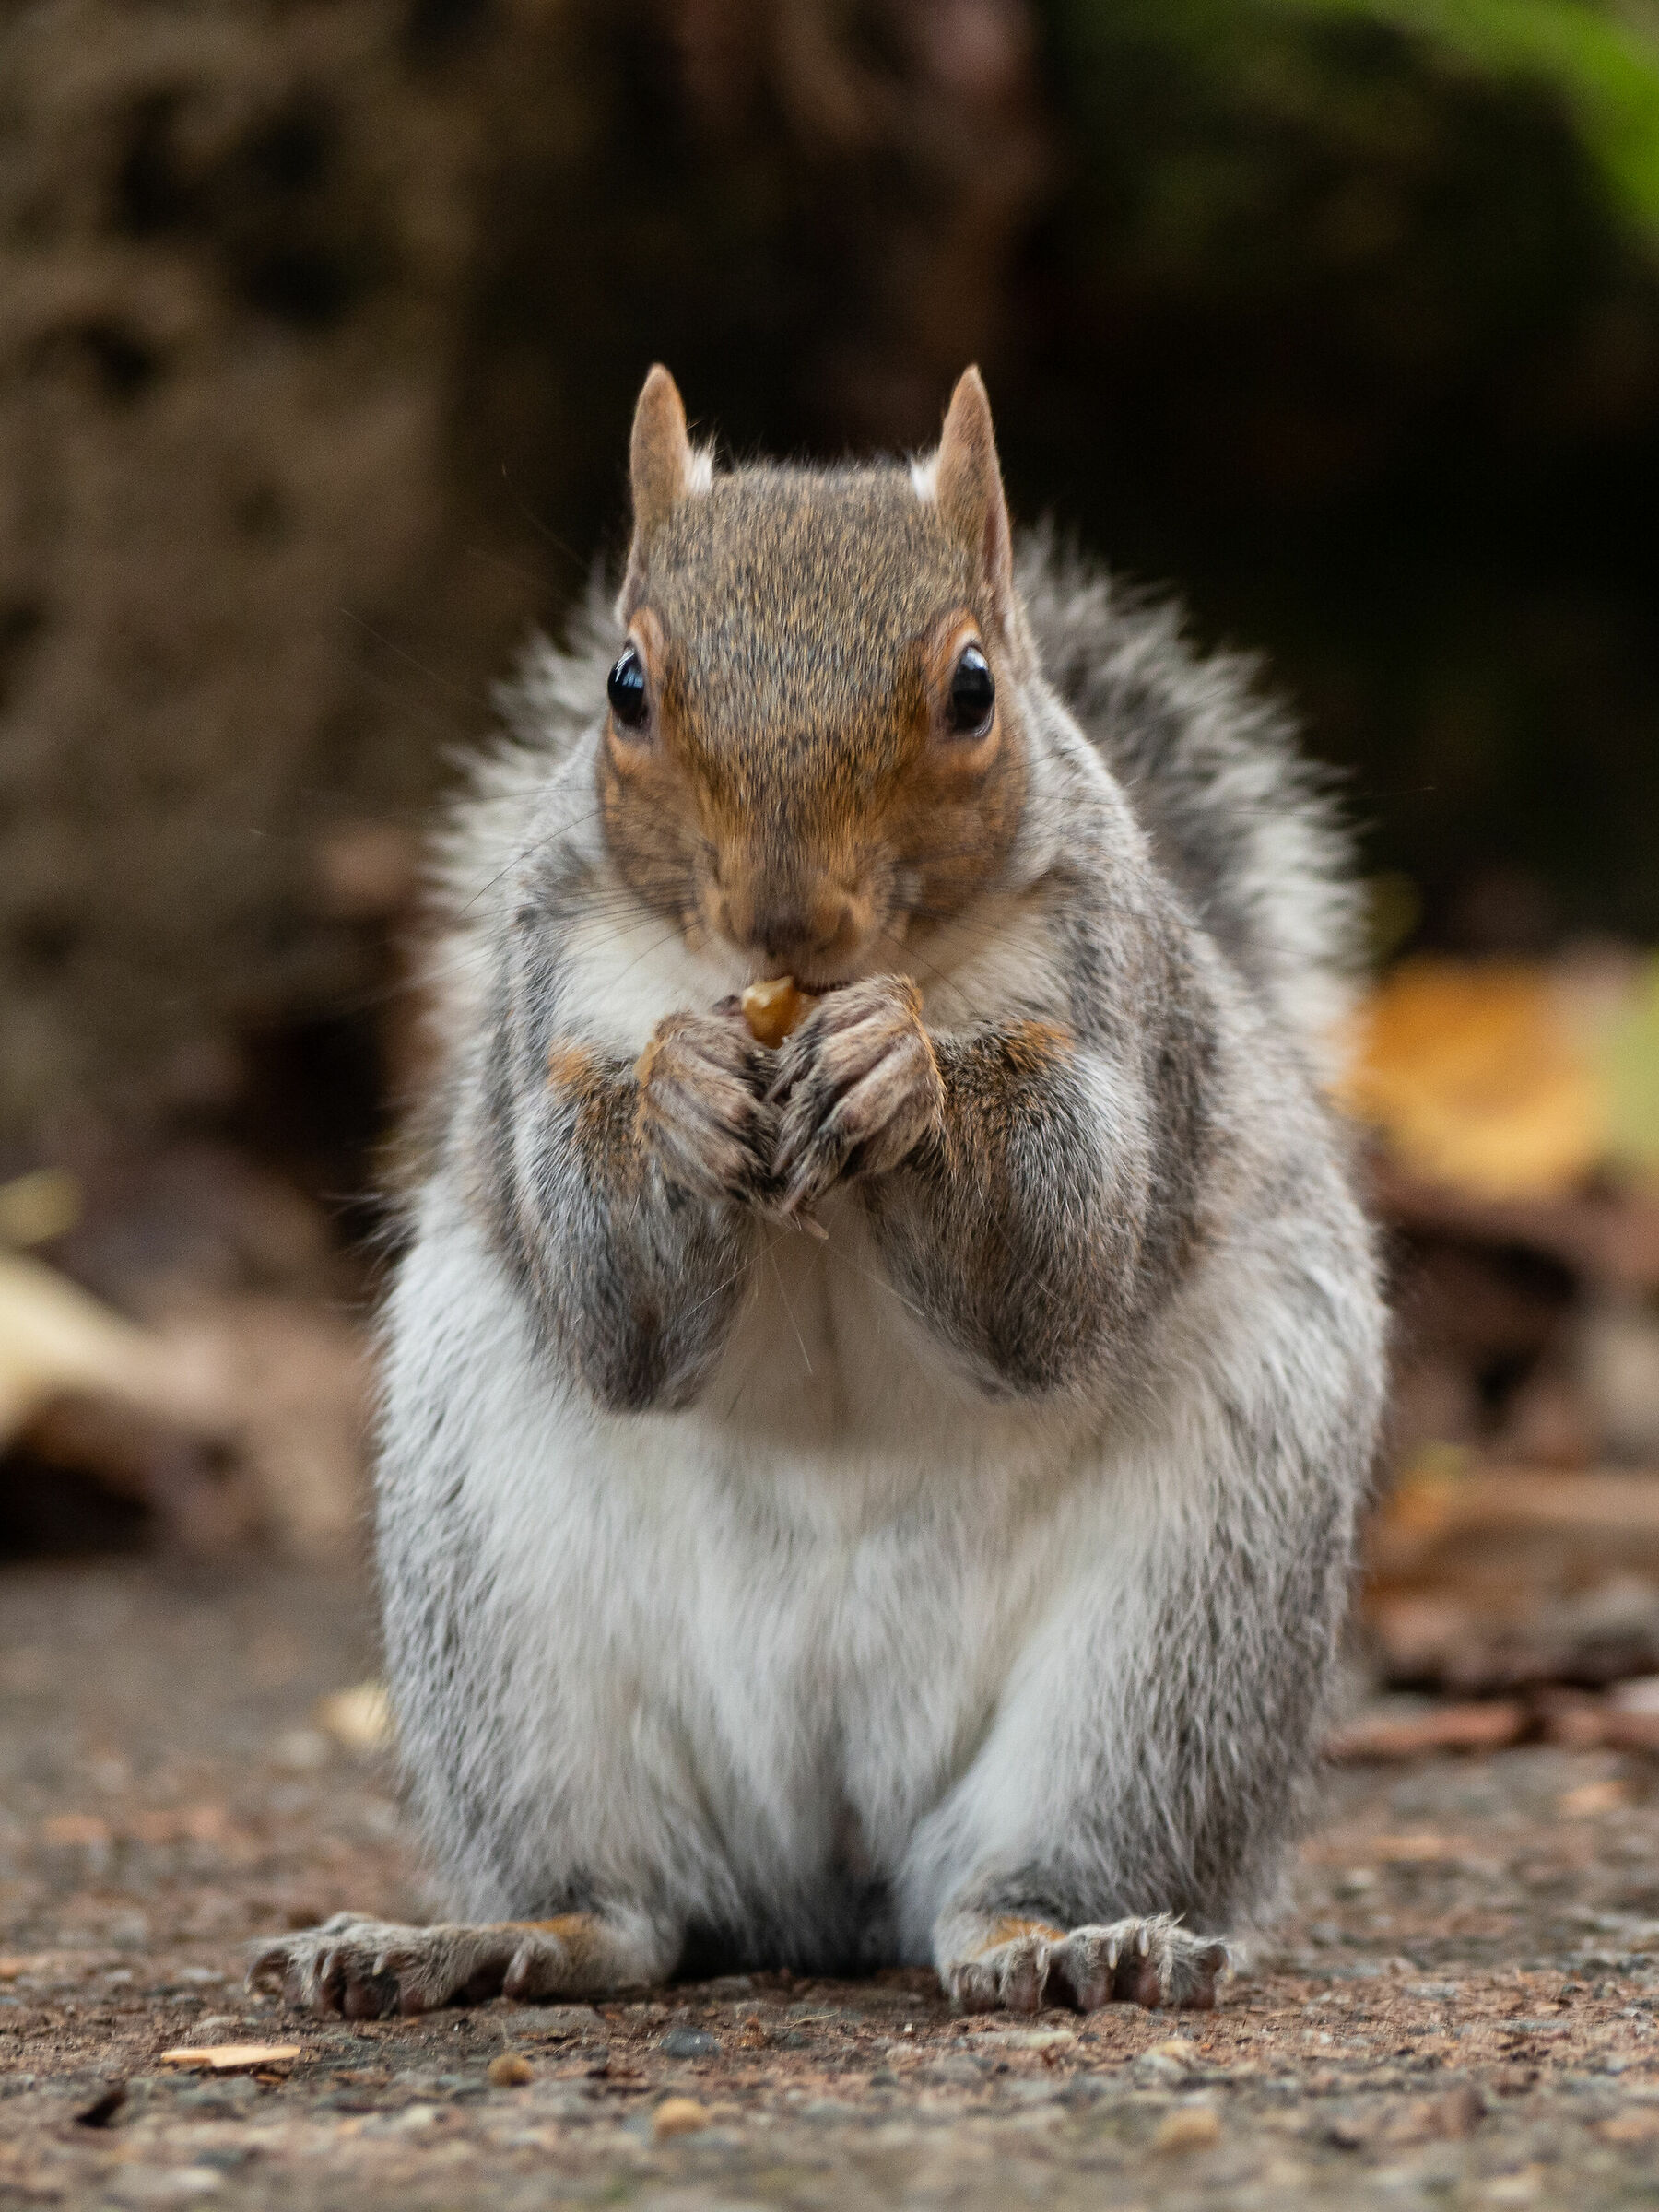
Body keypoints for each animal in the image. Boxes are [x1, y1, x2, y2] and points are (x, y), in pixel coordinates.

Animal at [252, 365, 1385, 2019]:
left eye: (974, 689)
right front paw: (678, 1095)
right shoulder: (547, 984)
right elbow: (613, 1310)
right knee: (631, 1905)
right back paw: (491, 1939)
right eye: (625, 685)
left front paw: (902, 1072)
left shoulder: (1123, 998)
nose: (785, 916)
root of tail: (834, 1857)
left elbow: (1062, 1268)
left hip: (1180, 1637)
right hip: (505, 1607)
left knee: (1027, 1867)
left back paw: (1069, 1940)